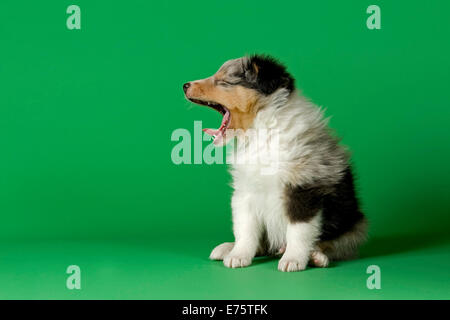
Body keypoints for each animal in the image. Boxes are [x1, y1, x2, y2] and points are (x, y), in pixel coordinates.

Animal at [182, 55, 366, 272]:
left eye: (224, 82)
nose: (184, 85)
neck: (261, 132)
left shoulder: (304, 187)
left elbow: (299, 230)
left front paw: (293, 260)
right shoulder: (245, 191)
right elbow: (245, 229)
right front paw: (238, 255)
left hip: (356, 225)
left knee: (336, 244)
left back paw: (317, 256)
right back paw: (227, 248)